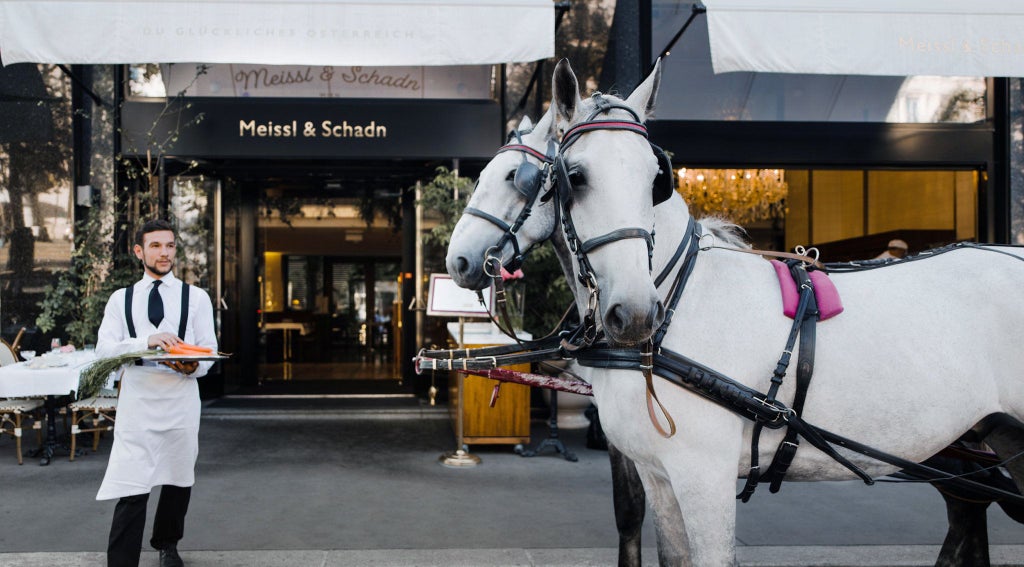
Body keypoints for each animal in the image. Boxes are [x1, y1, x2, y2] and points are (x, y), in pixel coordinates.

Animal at [544, 57, 1024, 560]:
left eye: (656, 178)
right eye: (575, 176)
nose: (636, 313)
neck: (681, 300)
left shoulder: (703, 475)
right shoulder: (659, 476)